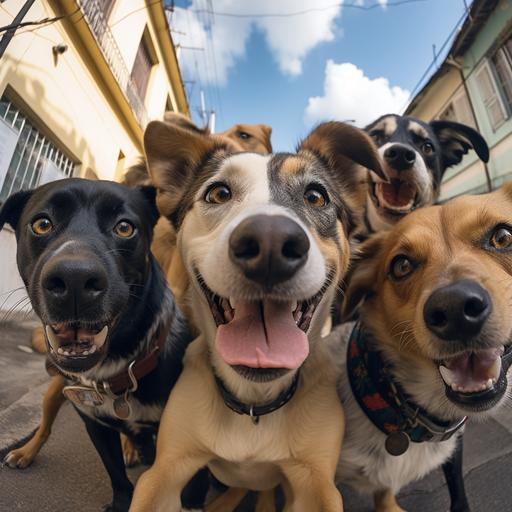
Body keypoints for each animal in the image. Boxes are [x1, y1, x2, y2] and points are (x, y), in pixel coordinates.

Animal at [0, 178, 208, 510]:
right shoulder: (95, 425)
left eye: (124, 227)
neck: (120, 369)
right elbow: (118, 477)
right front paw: (122, 497)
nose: (73, 279)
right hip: (56, 389)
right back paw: (26, 452)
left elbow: (191, 492)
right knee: (45, 426)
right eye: (42, 224)